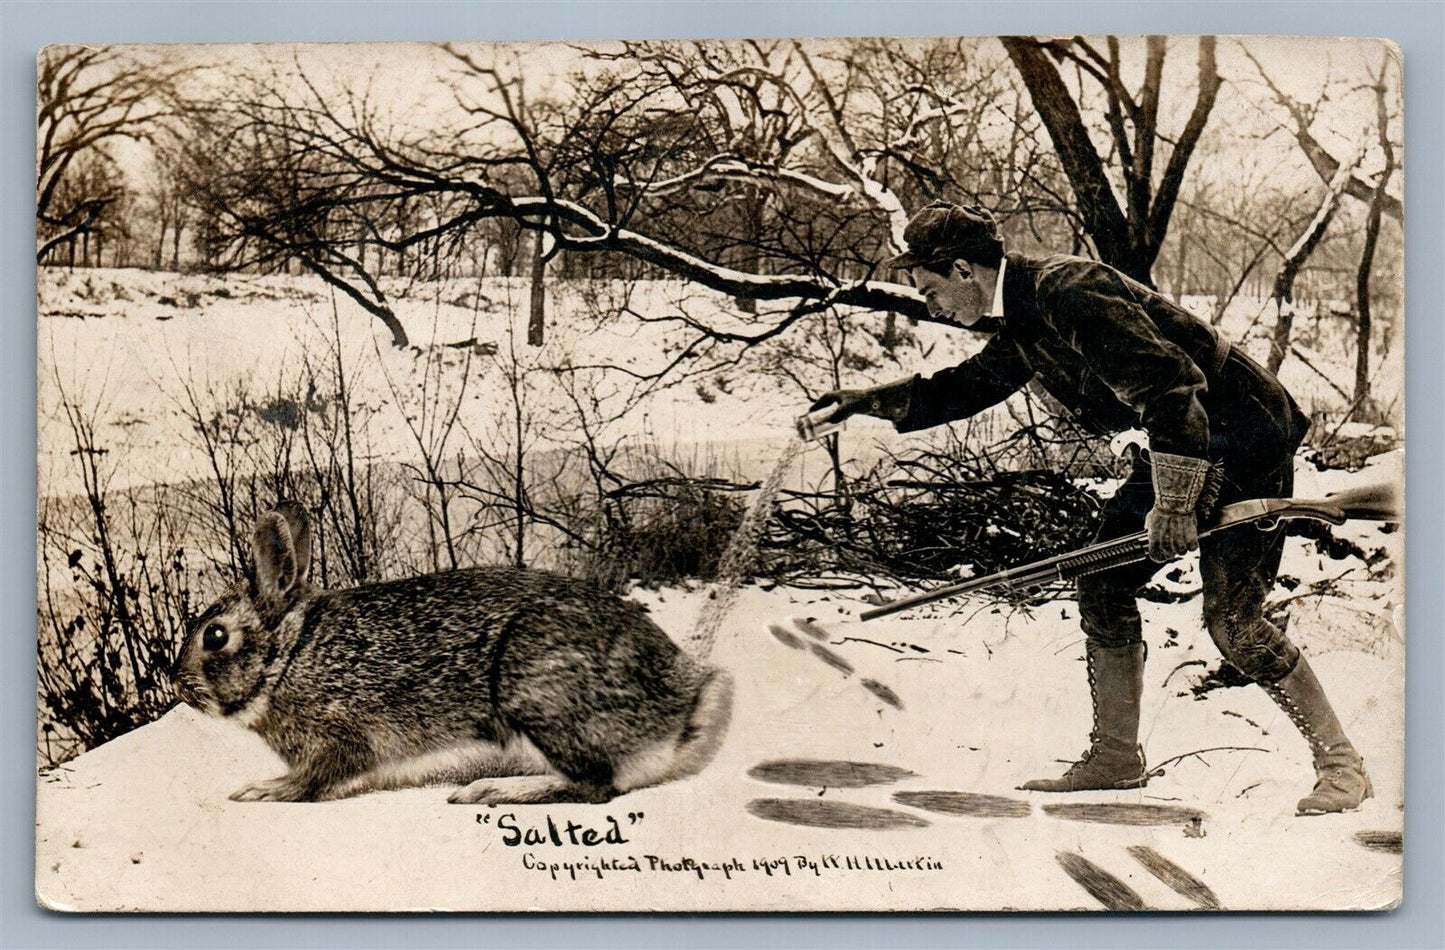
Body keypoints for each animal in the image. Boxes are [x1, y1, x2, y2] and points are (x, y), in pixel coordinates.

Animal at [171, 502, 733, 805]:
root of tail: (682, 708)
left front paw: (263, 790)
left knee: (594, 785)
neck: (289, 655)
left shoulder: (340, 736)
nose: (178, 681)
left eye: (214, 636)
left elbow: (314, 781)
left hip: (536, 687)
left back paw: (491, 792)